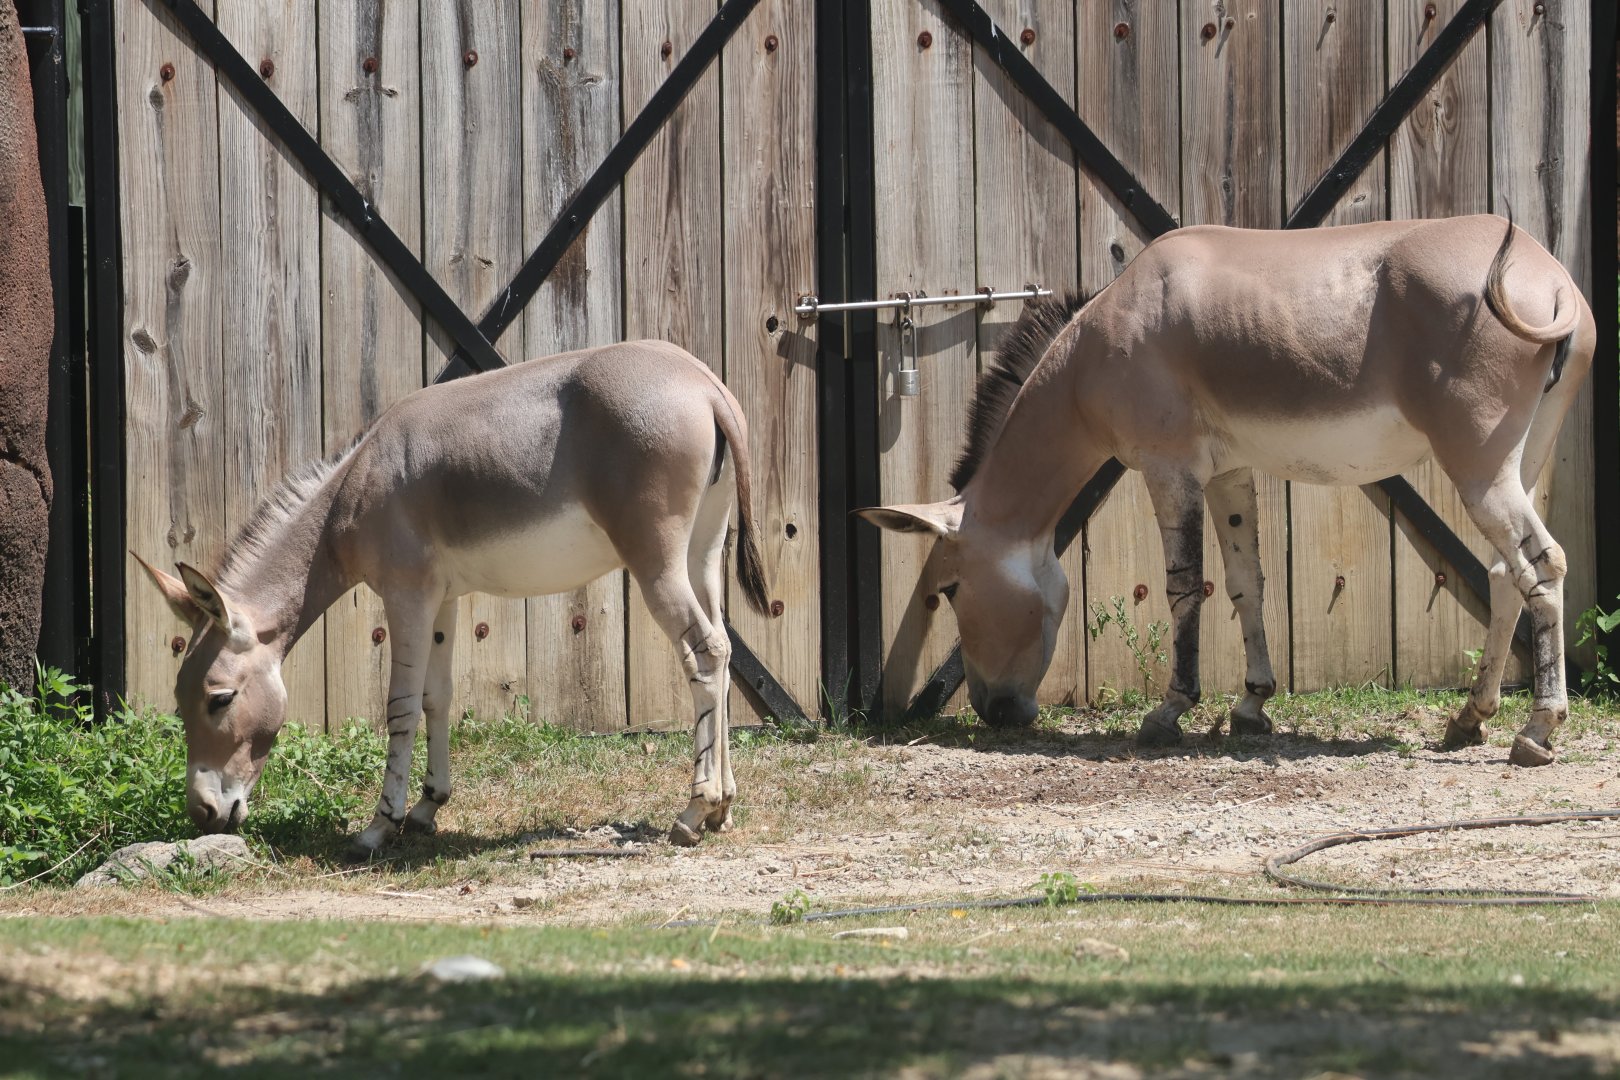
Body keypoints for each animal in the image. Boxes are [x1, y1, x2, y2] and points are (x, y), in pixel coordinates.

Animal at [136, 340, 771, 855]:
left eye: (219, 699)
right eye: (180, 699)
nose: (204, 814)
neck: (353, 491)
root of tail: (703, 384)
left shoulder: (405, 595)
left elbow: (399, 705)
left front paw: (378, 827)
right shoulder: (442, 599)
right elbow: (437, 697)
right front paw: (427, 806)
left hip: (654, 558)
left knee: (704, 651)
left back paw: (693, 810)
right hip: (703, 551)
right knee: (723, 651)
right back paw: (724, 807)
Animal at [858, 215, 1594, 768]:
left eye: (950, 591)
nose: (994, 713)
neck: (1102, 339)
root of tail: (1546, 276)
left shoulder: (1168, 468)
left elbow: (1186, 586)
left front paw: (1169, 712)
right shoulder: (1226, 473)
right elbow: (1247, 583)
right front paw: (1251, 705)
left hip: (1479, 467)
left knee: (1544, 564)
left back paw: (1537, 730)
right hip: (1523, 461)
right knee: (1505, 572)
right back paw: (1469, 720)